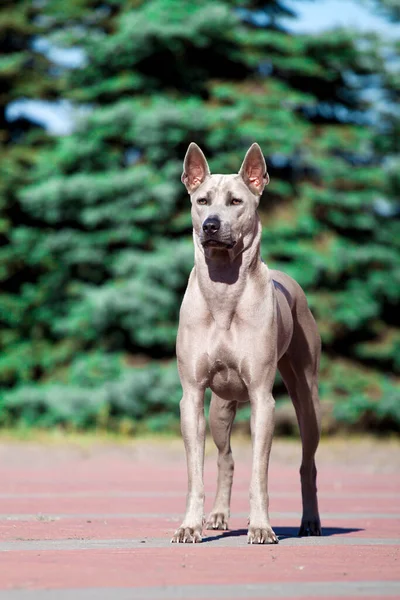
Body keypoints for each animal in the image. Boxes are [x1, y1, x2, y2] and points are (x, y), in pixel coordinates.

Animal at [170, 142, 320, 544]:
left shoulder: (262, 397)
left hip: (307, 396)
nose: (210, 224)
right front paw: (189, 525)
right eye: (202, 200)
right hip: (220, 408)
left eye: (236, 201)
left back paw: (310, 522)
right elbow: (195, 471)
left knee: (308, 462)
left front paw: (262, 527)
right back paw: (219, 515)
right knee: (226, 457)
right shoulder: (192, 395)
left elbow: (261, 472)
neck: (224, 287)